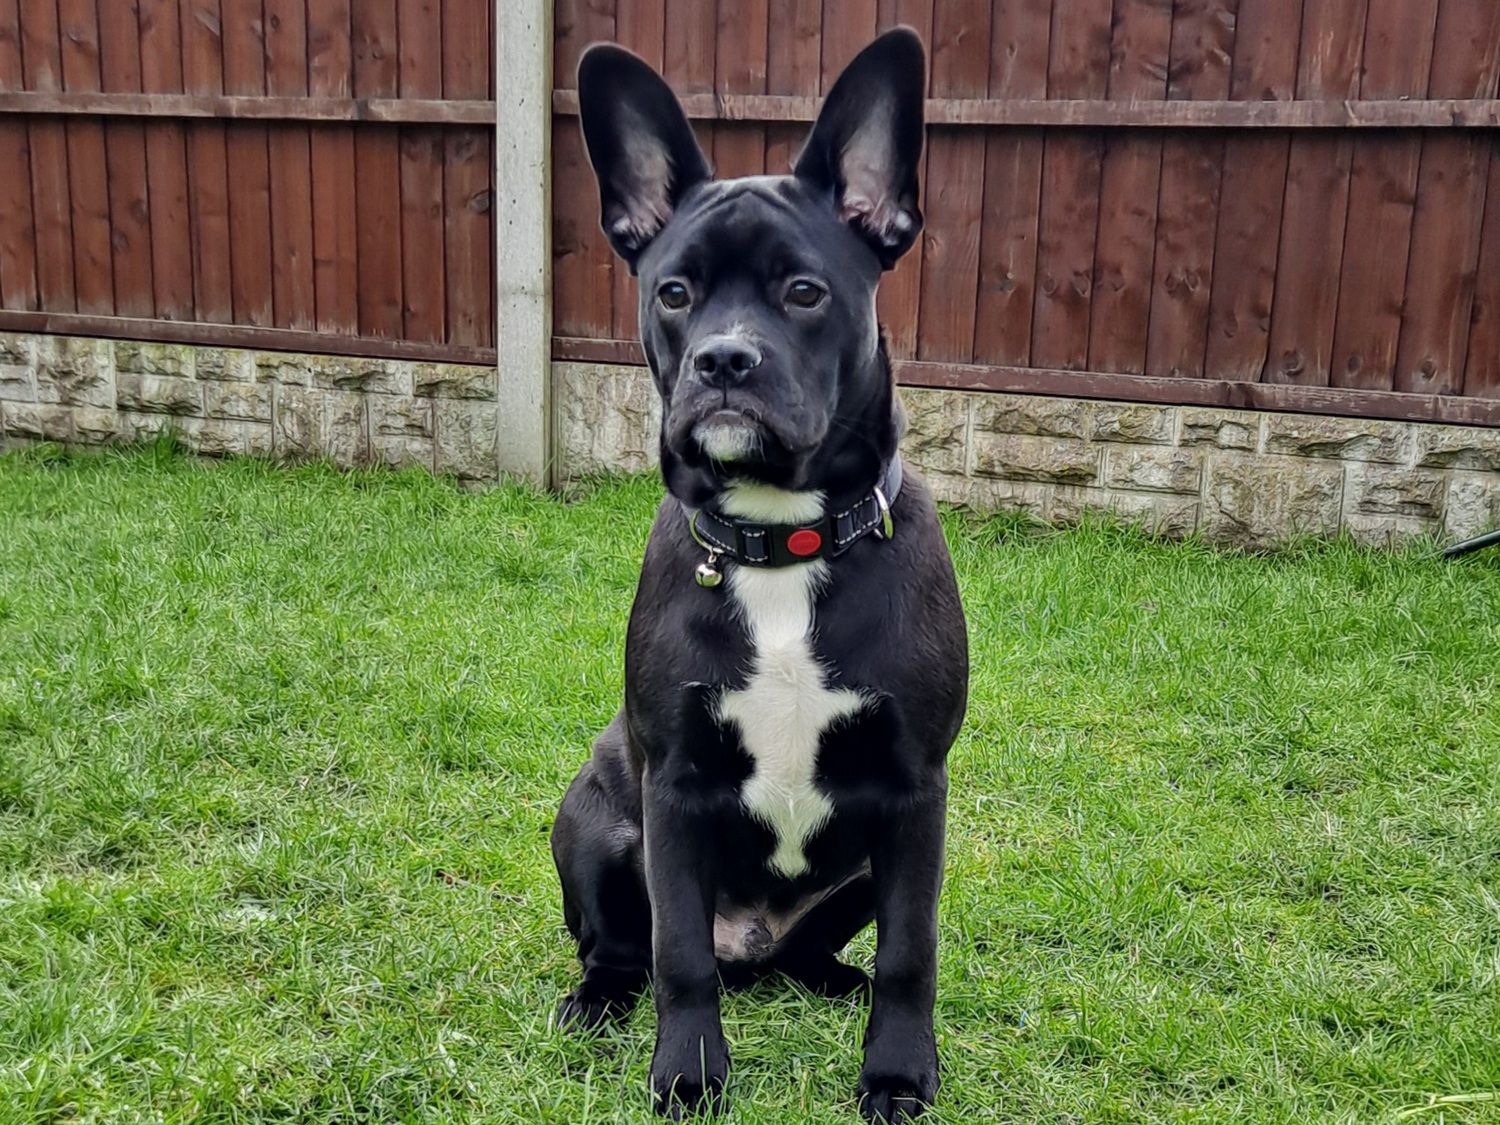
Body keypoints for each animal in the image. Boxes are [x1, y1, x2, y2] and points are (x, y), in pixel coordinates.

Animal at [558, 28, 966, 1125]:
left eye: (804, 292)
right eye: (674, 292)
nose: (724, 361)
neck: (782, 539)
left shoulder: (916, 793)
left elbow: (913, 952)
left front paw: (896, 1072)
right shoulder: (673, 788)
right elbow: (679, 957)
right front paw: (689, 1072)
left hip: (864, 865)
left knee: (818, 952)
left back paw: (833, 979)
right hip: (593, 822)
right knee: (628, 947)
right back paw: (596, 1003)